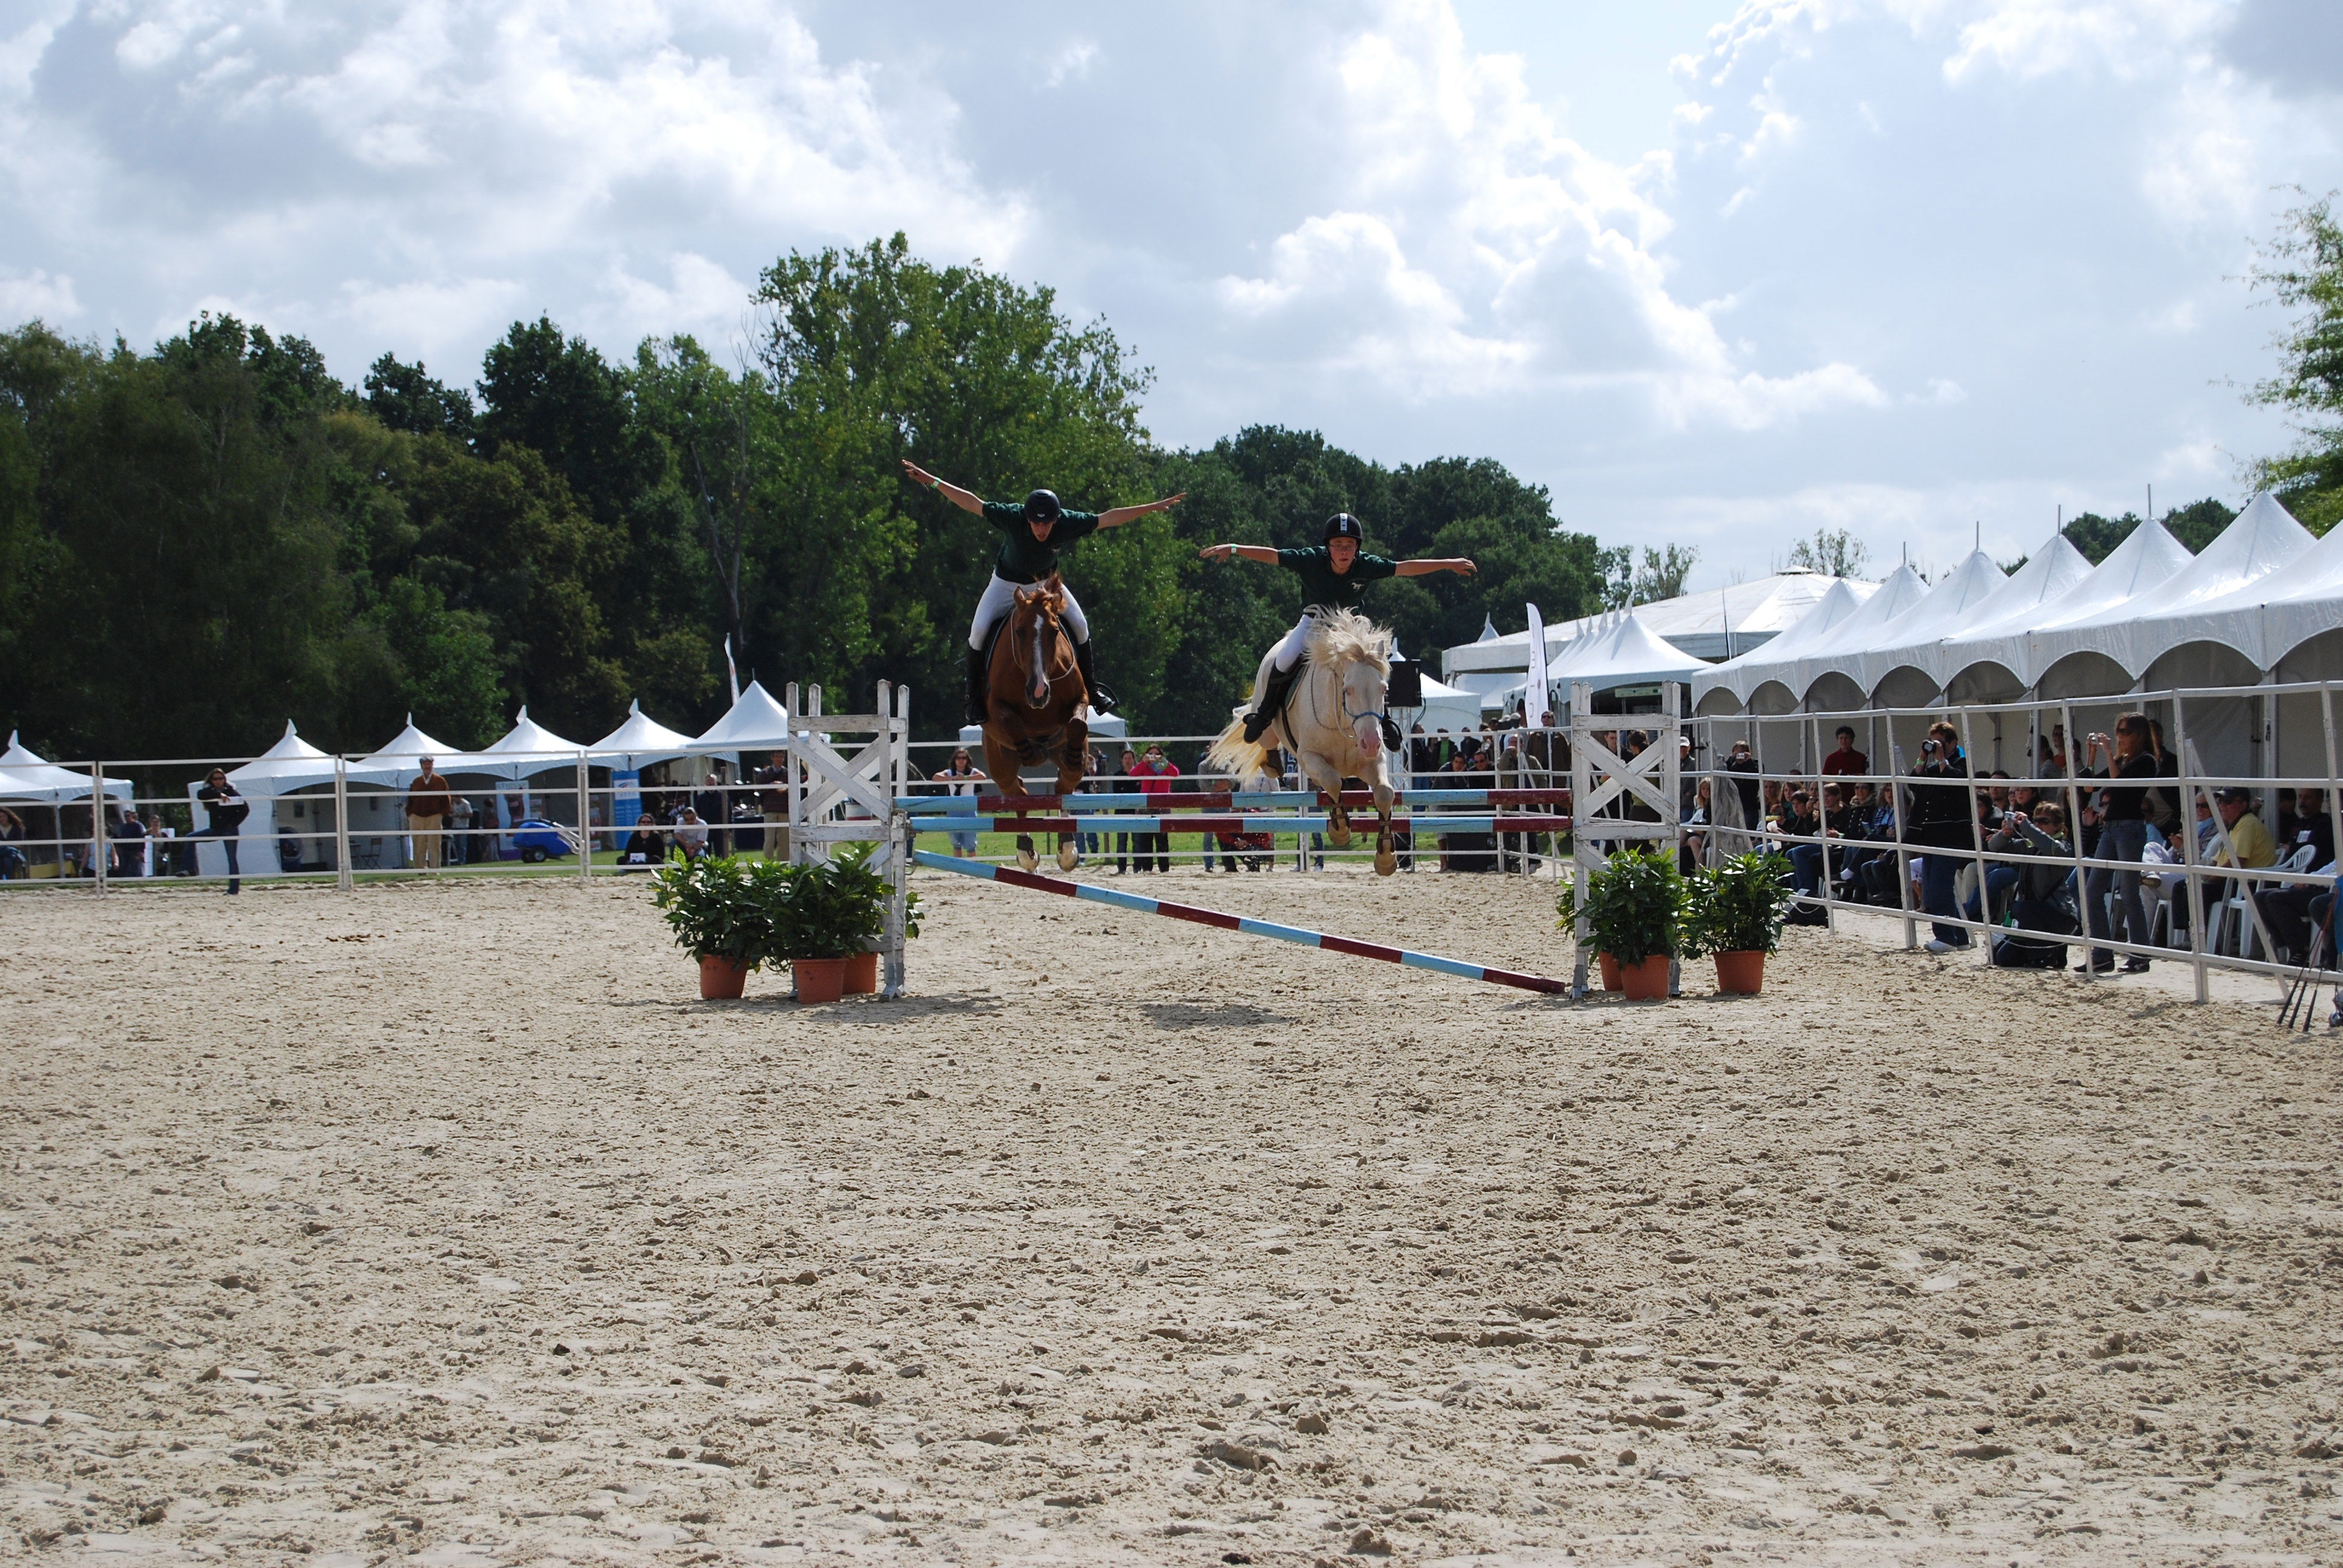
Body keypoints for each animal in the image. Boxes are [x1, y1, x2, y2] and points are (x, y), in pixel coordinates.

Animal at [988, 572, 1096, 867]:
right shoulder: (994, 708)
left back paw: (1068, 849)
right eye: (1019, 632)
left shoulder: (1081, 699)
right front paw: (1032, 753)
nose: (1038, 692)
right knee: (1017, 794)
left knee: (1063, 786)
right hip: (999, 762)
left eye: (1055, 631)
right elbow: (1011, 722)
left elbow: (1077, 723)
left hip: (1066, 759)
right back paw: (1025, 852)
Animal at [1199, 604, 1396, 877]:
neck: (1343, 723)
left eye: (1384, 689)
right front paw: (1340, 830)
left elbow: (1385, 793)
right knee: (1265, 740)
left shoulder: (1371, 761)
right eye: (1347, 690)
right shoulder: (1309, 758)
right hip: (1266, 724)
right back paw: (1272, 763)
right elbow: (1333, 781)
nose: (1370, 742)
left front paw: (1386, 857)